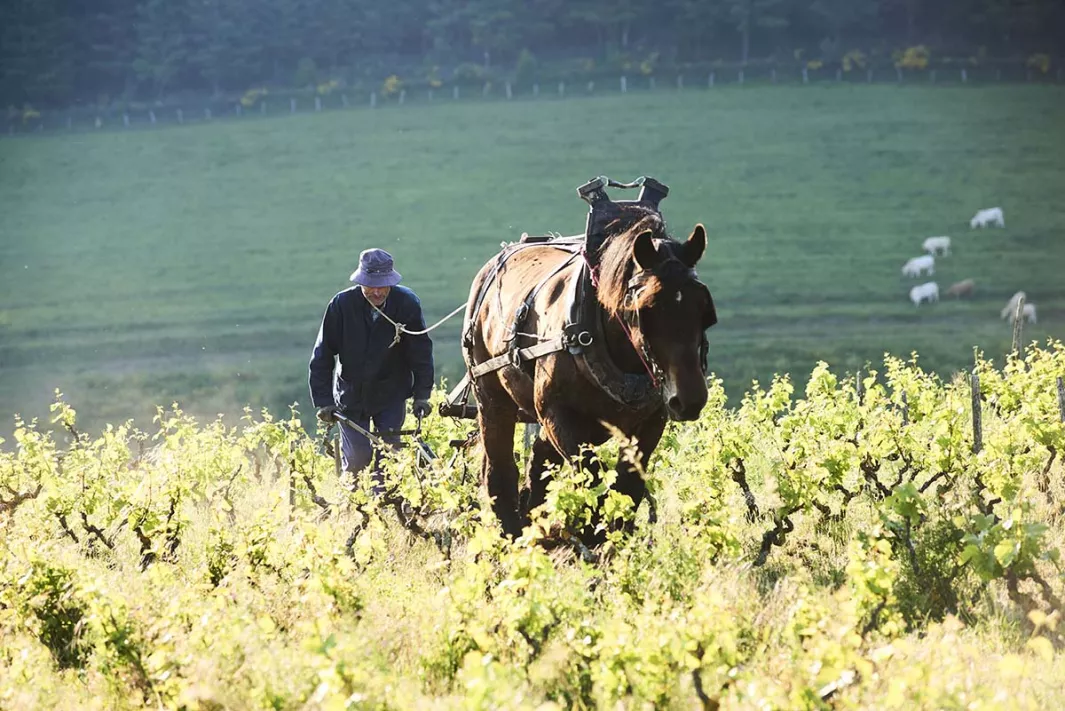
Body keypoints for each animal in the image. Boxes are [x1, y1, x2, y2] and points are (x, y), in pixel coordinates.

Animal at [460, 206, 715, 544]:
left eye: (704, 310)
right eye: (646, 308)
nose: (689, 399)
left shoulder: (651, 422)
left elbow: (628, 487)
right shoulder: (558, 415)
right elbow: (590, 478)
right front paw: (591, 534)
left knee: (538, 465)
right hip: (491, 398)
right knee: (499, 471)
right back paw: (513, 535)